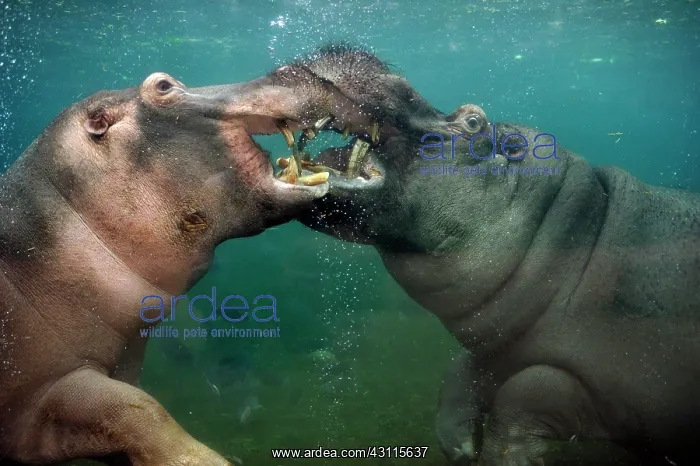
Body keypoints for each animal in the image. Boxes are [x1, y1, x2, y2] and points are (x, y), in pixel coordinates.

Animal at [231, 46, 699, 465]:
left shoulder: (599, 385)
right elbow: (460, 370)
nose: (347, 50)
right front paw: (460, 446)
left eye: (473, 120)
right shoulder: (499, 350)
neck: (580, 232)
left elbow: (523, 395)